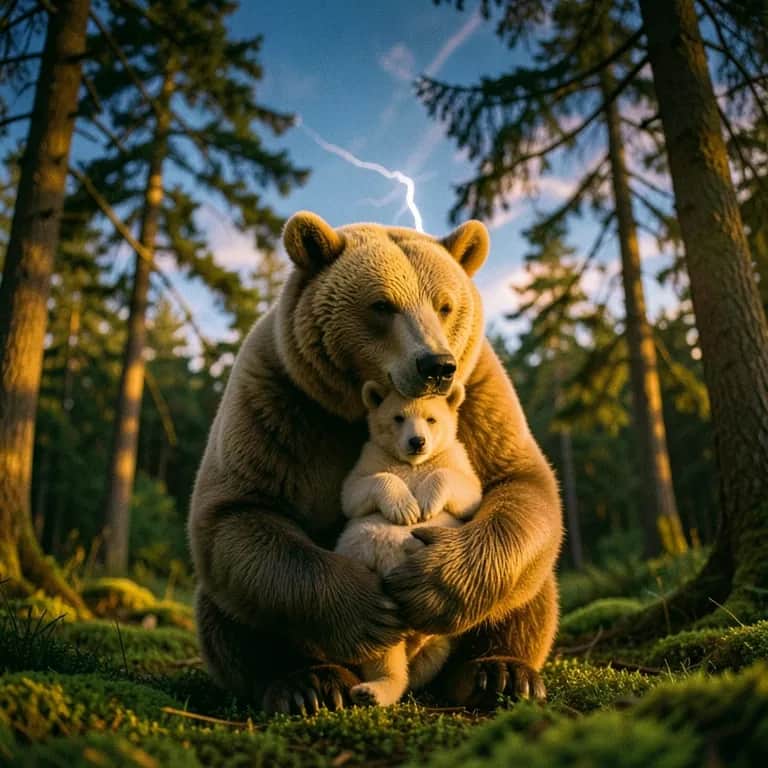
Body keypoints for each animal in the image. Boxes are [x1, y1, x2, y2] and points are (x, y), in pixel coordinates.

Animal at [335, 380, 482, 707]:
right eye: (398, 417)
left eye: (432, 418)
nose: (417, 442)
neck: (413, 465)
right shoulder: (371, 457)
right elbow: (355, 491)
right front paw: (406, 509)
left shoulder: (455, 457)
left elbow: (468, 488)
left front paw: (425, 503)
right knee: (382, 653)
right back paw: (372, 690)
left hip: (438, 637)